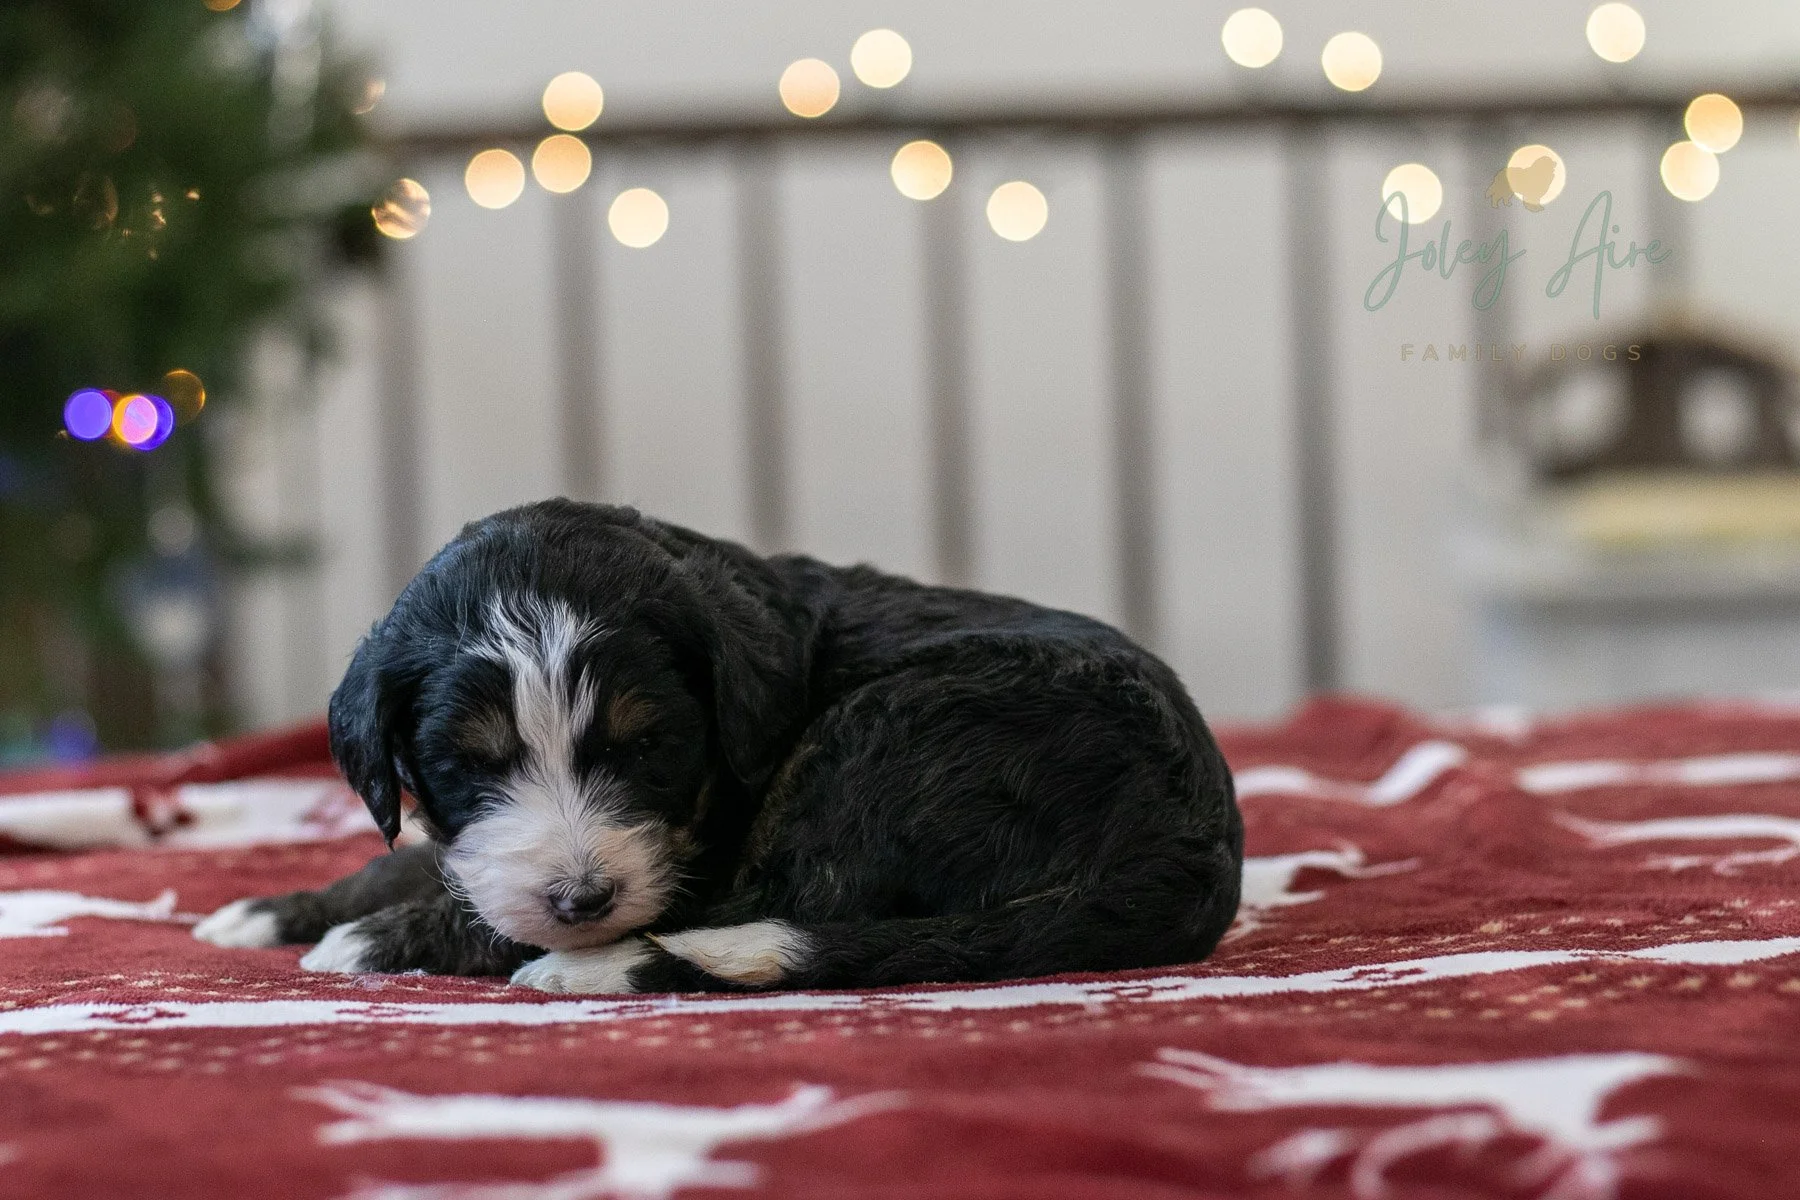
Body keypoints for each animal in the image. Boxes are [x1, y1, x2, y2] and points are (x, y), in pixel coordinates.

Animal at [194, 501, 1243, 994]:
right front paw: (274, 908)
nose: (581, 899)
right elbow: (421, 862)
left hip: (896, 736)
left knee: (793, 902)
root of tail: (1191, 848)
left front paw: (367, 937)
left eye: (647, 748)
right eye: (469, 764)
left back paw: (594, 965)